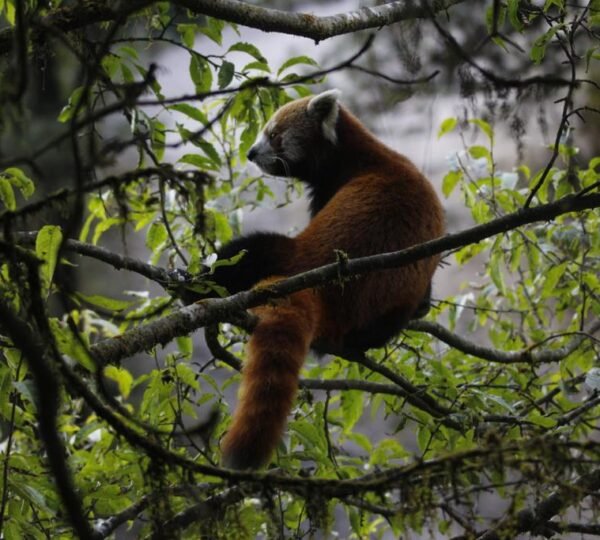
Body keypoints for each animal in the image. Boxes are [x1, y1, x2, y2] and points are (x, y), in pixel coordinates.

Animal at [209, 89, 442, 468]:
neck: (357, 154)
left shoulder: (330, 188)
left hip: (290, 254)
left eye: (274, 134)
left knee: (249, 250)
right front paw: (426, 306)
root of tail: (316, 281)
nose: (251, 153)